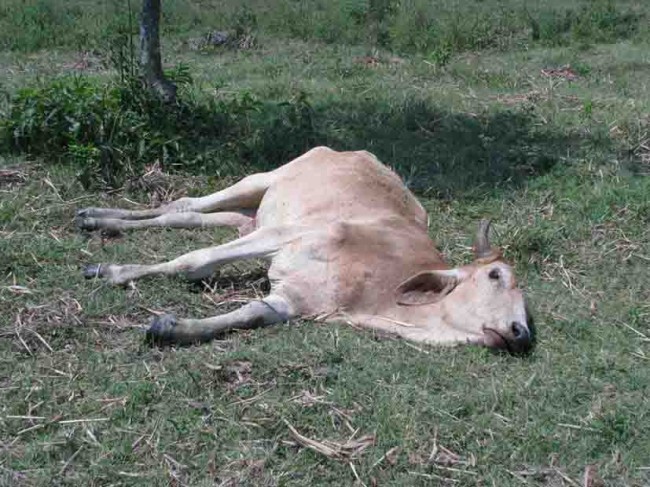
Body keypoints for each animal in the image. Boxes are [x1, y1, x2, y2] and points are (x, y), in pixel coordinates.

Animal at [76, 147, 532, 352]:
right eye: (496, 275)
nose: (521, 333)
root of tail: (360, 153)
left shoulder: (293, 301)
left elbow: (248, 314)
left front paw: (171, 328)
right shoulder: (287, 235)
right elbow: (194, 261)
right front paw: (112, 272)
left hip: (248, 216)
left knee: (186, 215)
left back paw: (98, 220)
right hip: (259, 180)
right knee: (185, 204)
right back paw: (94, 217)